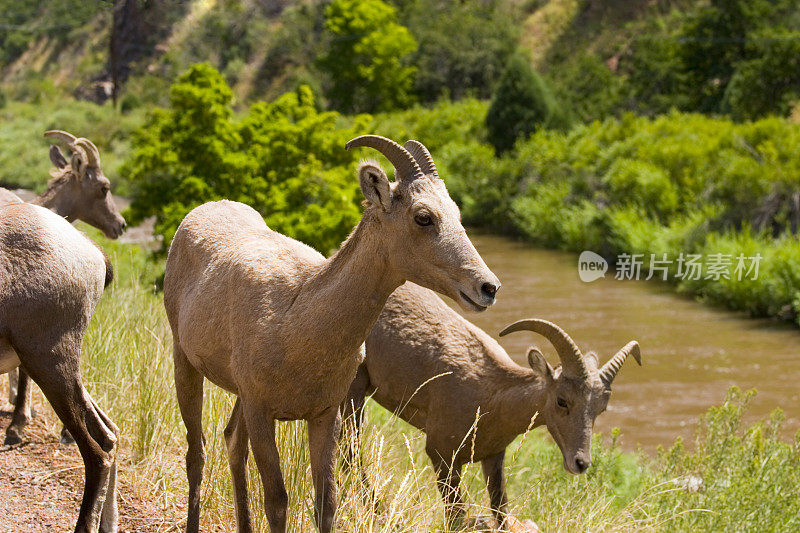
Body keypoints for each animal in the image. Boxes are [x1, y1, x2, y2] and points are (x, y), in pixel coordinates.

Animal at [163, 136, 500, 532]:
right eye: (423, 216)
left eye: (457, 214)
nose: (488, 287)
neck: (298, 324)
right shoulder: (262, 411)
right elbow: (277, 501)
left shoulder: (324, 414)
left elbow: (326, 502)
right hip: (184, 360)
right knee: (196, 452)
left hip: (238, 396)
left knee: (232, 442)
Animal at [340, 282, 640, 528]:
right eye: (562, 400)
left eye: (600, 408)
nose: (580, 463)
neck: (491, 399)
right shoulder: (442, 455)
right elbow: (456, 517)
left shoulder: (493, 458)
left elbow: (500, 511)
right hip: (354, 390)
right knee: (350, 453)